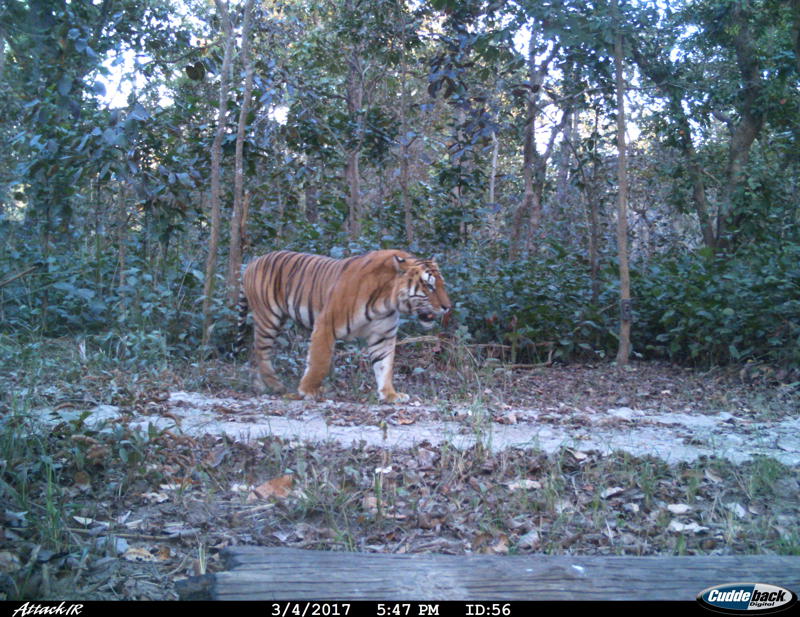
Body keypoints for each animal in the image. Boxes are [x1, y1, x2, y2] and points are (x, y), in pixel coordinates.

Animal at [237, 249, 451, 403]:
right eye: (429, 286)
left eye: (442, 284)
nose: (448, 307)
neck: (387, 301)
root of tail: (253, 261)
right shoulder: (325, 325)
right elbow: (319, 361)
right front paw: (308, 390)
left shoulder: (383, 336)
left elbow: (384, 366)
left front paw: (390, 395)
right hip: (268, 318)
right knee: (260, 351)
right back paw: (274, 385)